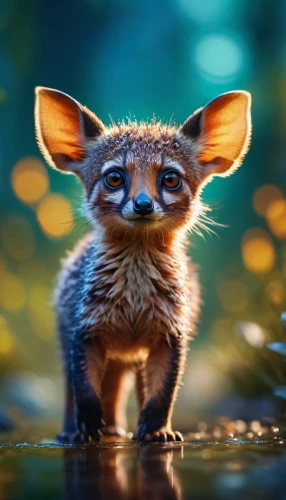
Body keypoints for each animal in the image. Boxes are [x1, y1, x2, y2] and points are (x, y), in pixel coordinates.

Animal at [34, 88, 251, 444]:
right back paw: (75, 432)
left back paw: (116, 428)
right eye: (114, 177)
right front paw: (86, 430)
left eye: (171, 179)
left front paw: (158, 431)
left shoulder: (170, 334)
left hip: (130, 359)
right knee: (74, 390)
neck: (134, 301)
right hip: (73, 341)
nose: (143, 204)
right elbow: (85, 391)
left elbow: (163, 392)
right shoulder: (85, 331)